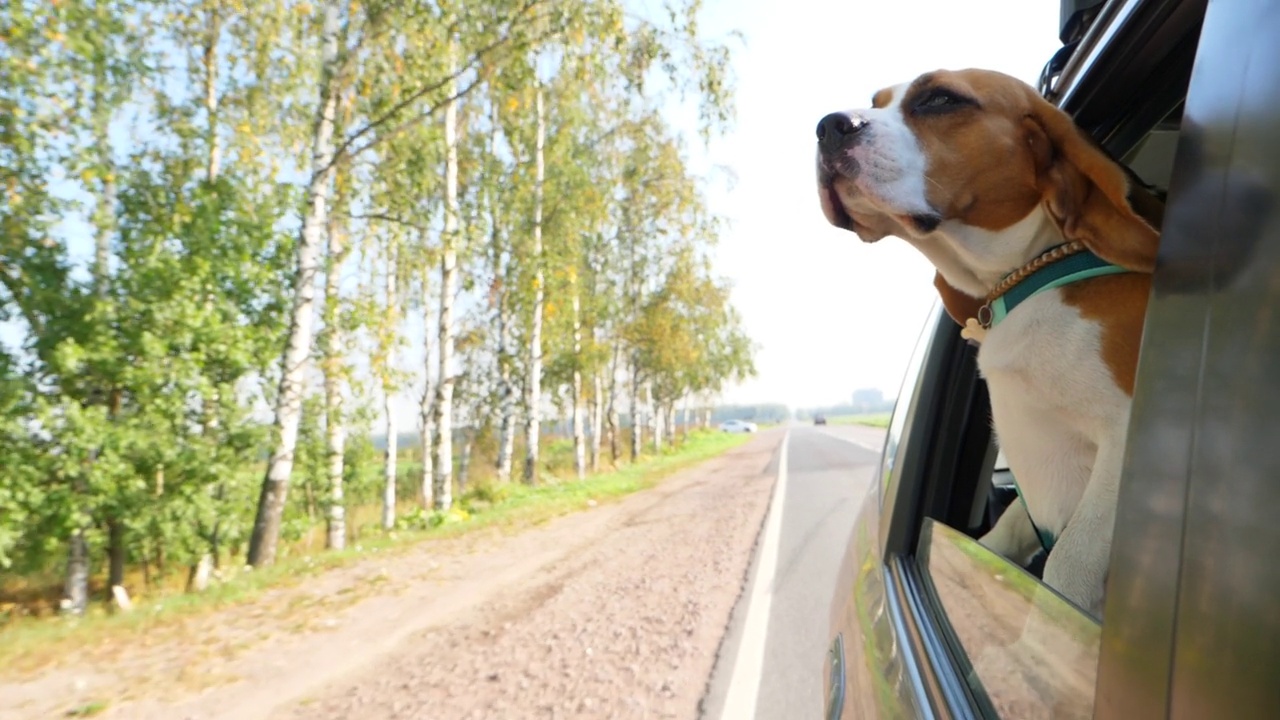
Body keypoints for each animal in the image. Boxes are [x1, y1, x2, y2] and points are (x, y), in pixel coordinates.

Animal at [819, 68, 1162, 617]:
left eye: (940, 99)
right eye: (876, 101)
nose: (829, 126)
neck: (1033, 271)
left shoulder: (1128, 437)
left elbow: (1065, 569)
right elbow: (1001, 539)